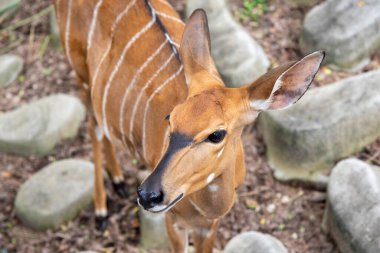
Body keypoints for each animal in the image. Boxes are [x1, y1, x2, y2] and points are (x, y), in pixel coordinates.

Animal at [54, 0, 324, 252]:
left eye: (217, 134)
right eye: (170, 118)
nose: (148, 195)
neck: (206, 206)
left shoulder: (210, 226)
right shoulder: (173, 220)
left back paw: (119, 180)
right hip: (80, 71)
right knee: (94, 126)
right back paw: (102, 209)